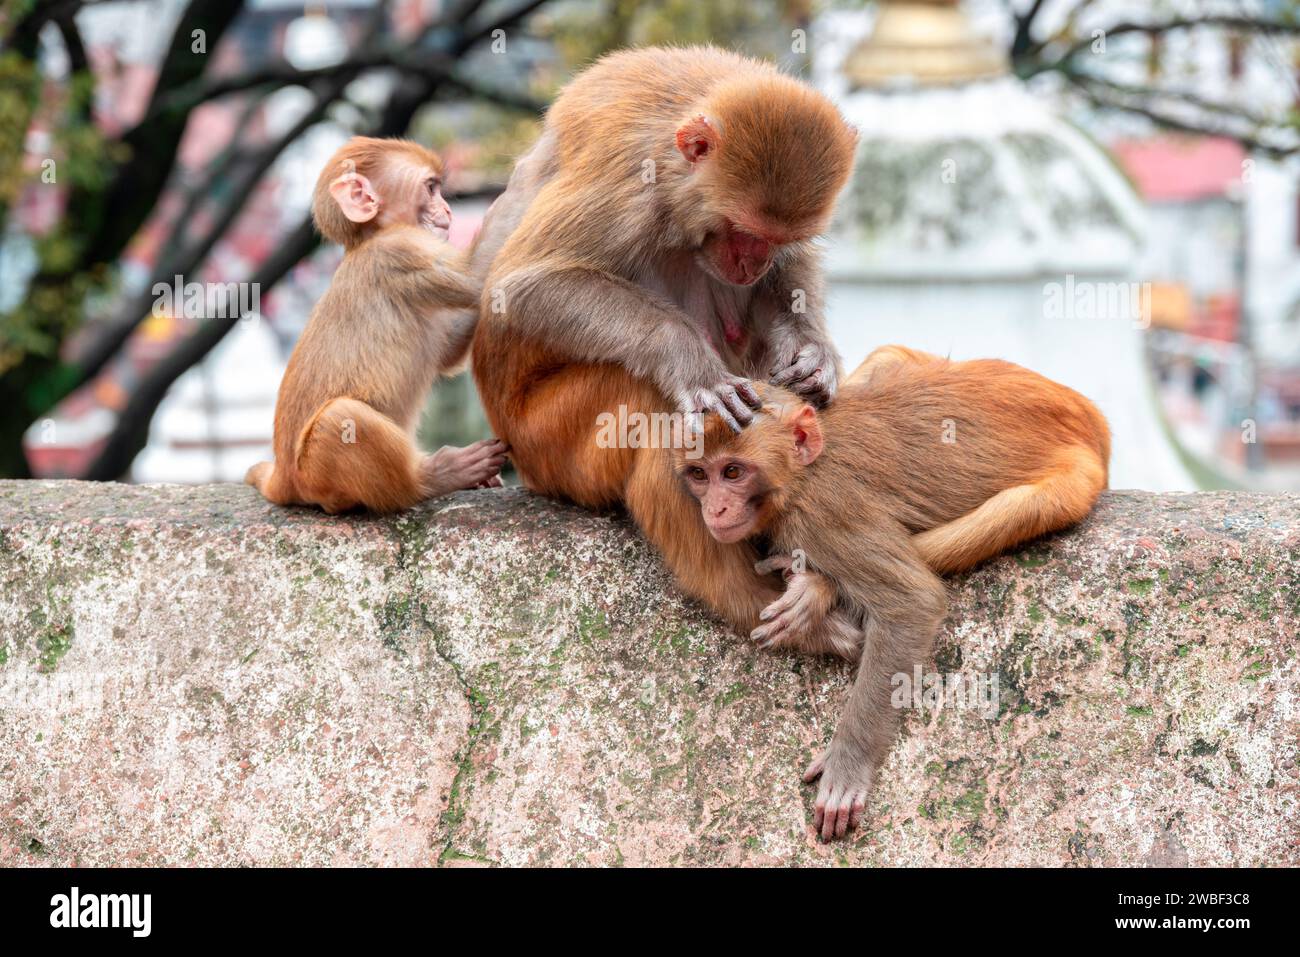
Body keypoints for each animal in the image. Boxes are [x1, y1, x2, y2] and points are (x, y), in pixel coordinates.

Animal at [245, 137, 504, 512]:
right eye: (431, 188)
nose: (448, 211)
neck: (368, 238)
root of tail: (282, 480)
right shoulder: (398, 252)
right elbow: (477, 276)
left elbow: (450, 350)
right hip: (315, 477)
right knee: (339, 418)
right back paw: (432, 479)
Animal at [473, 46, 857, 642]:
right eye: (741, 229)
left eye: (775, 239)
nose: (752, 263)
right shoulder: (632, 183)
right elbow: (520, 286)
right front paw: (690, 362)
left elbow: (788, 282)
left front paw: (813, 359)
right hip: (546, 444)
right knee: (651, 406)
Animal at [676, 348, 1112, 842]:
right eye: (700, 474)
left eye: (732, 471)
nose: (714, 509)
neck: (801, 472)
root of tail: (1086, 413)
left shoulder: (823, 515)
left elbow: (912, 604)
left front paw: (848, 764)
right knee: (891, 357)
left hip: (1078, 479)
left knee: (1017, 510)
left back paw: (818, 588)